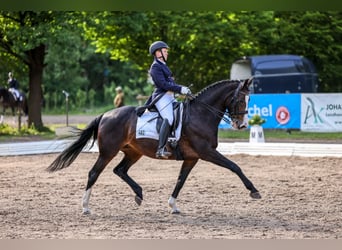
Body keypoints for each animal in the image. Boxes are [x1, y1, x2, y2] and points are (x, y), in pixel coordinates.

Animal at [46, 79, 260, 214]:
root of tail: (106, 115)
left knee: (120, 170)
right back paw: (85, 207)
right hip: (108, 152)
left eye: (249, 99)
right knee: (94, 173)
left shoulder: (192, 157)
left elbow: (180, 181)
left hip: (133, 152)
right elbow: (234, 166)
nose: (241, 125)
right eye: (239, 99)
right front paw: (254, 191)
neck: (200, 114)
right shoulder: (207, 152)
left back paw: (139, 194)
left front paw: (173, 206)